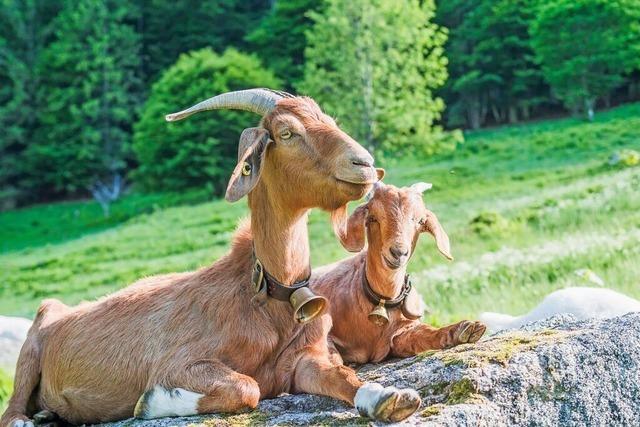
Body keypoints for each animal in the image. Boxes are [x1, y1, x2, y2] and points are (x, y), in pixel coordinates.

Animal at [2, 88, 422, 426]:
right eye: (287, 132)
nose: (364, 164)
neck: (265, 294)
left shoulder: (304, 360)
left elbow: (341, 377)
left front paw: (387, 398)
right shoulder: (181, 361)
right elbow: (247, 387)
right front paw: (152, 401)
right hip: (31, 349)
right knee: (11, 408)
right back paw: (30, 418)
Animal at [310, 182, 484, 366]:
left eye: (420, 221)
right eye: (372, 218)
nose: (398, 252)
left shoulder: (400, 331)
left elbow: (423, 334)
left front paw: (465, 329)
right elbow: (329, 352)